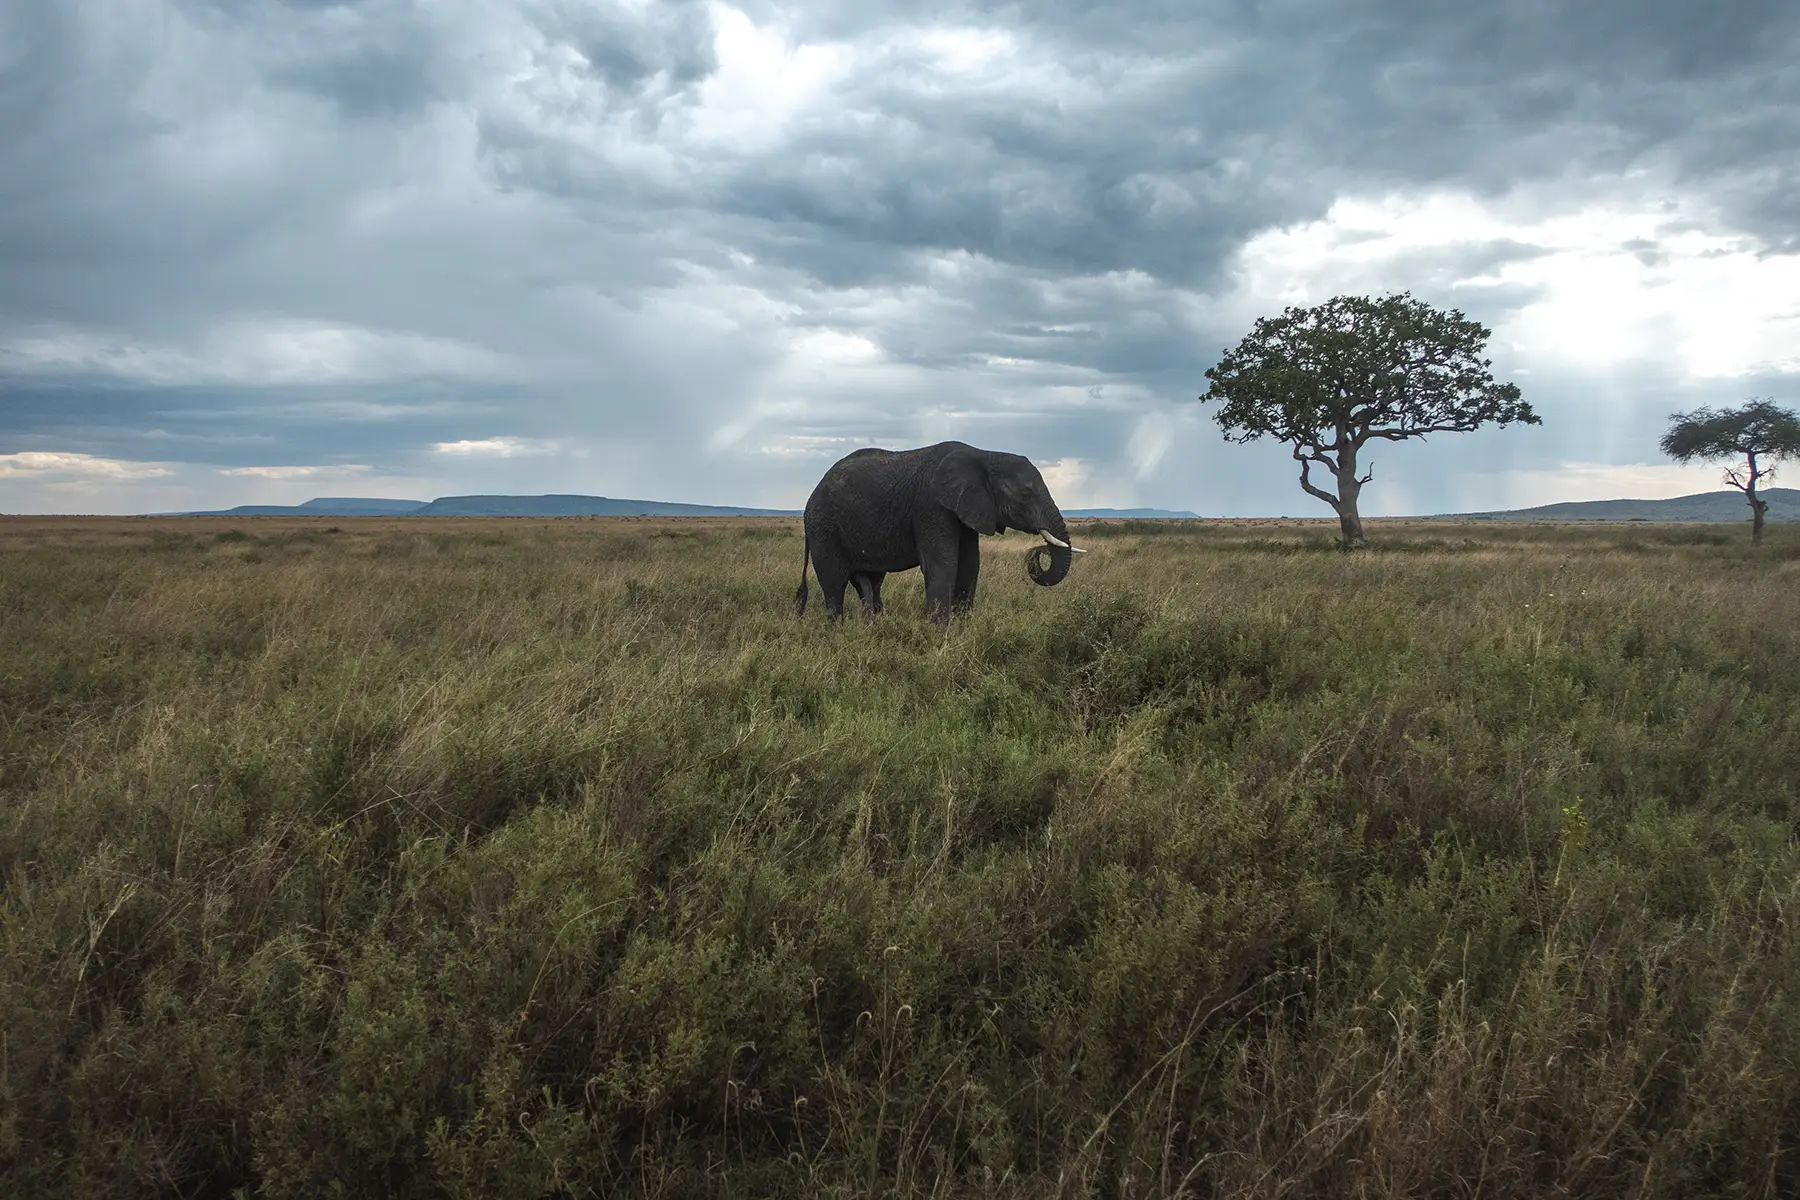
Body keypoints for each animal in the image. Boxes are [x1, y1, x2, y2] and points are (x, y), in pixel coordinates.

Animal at [794, 440, 1084, 623]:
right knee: (834, 584)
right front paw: (939, 634)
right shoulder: (931, 504)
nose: (1040, 549)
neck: (984, 454)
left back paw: (873, 626)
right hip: (822, 527)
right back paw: (838, 632)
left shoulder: (967, 509)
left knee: (871, 582)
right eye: (1025, 494)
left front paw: (962, 630)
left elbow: (969, 566)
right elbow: (943, 565)